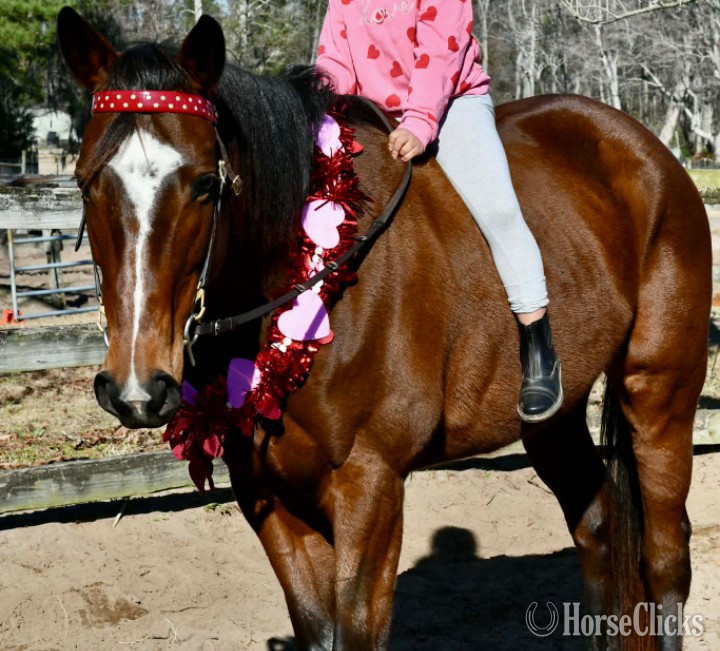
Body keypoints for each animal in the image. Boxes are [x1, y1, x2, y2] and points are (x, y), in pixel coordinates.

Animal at [57, 7, 711, 650]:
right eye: (85, 181)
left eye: (204, 184)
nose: (136, 390)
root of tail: (643, 147)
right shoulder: (267, 495)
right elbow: (317, 629)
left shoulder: (368, 485)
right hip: (555, 418)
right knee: (598, 525)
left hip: (660, 393)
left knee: (665, 558)